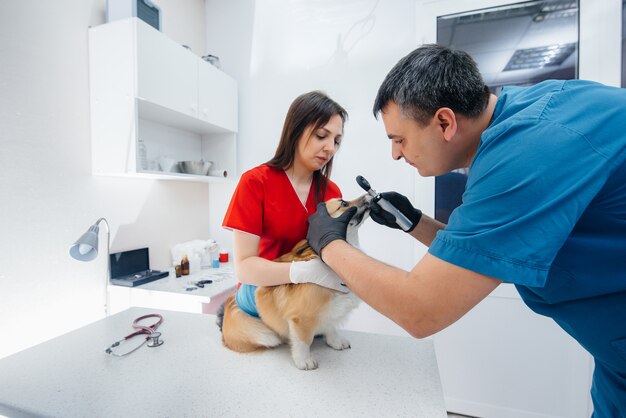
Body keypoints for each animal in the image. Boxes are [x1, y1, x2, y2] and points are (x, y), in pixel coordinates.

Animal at [216, 193, 370, 370]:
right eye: (344, 203)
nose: (369, 195)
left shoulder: (328, 311)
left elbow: (331, 326)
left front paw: (335, 341)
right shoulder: (300, 318)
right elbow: (303, 342)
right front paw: (304, 360)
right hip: (262, 333)